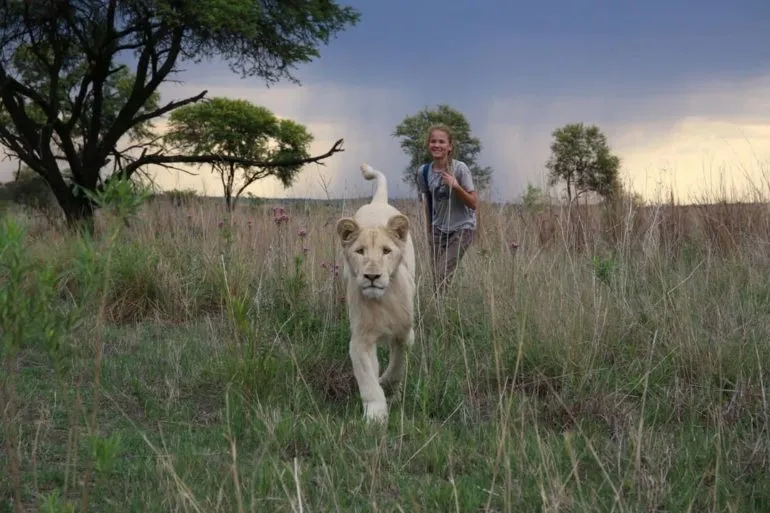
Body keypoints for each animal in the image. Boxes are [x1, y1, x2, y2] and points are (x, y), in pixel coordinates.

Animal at [335, 163, 416, 423]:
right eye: (360, 251)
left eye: (386, 251)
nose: (372, 276)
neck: (381, 301)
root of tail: (378, 202)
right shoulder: (360, 340)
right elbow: (368, 380)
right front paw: (376, 416)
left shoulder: (404, 333)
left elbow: (398, 364)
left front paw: (389, 384)